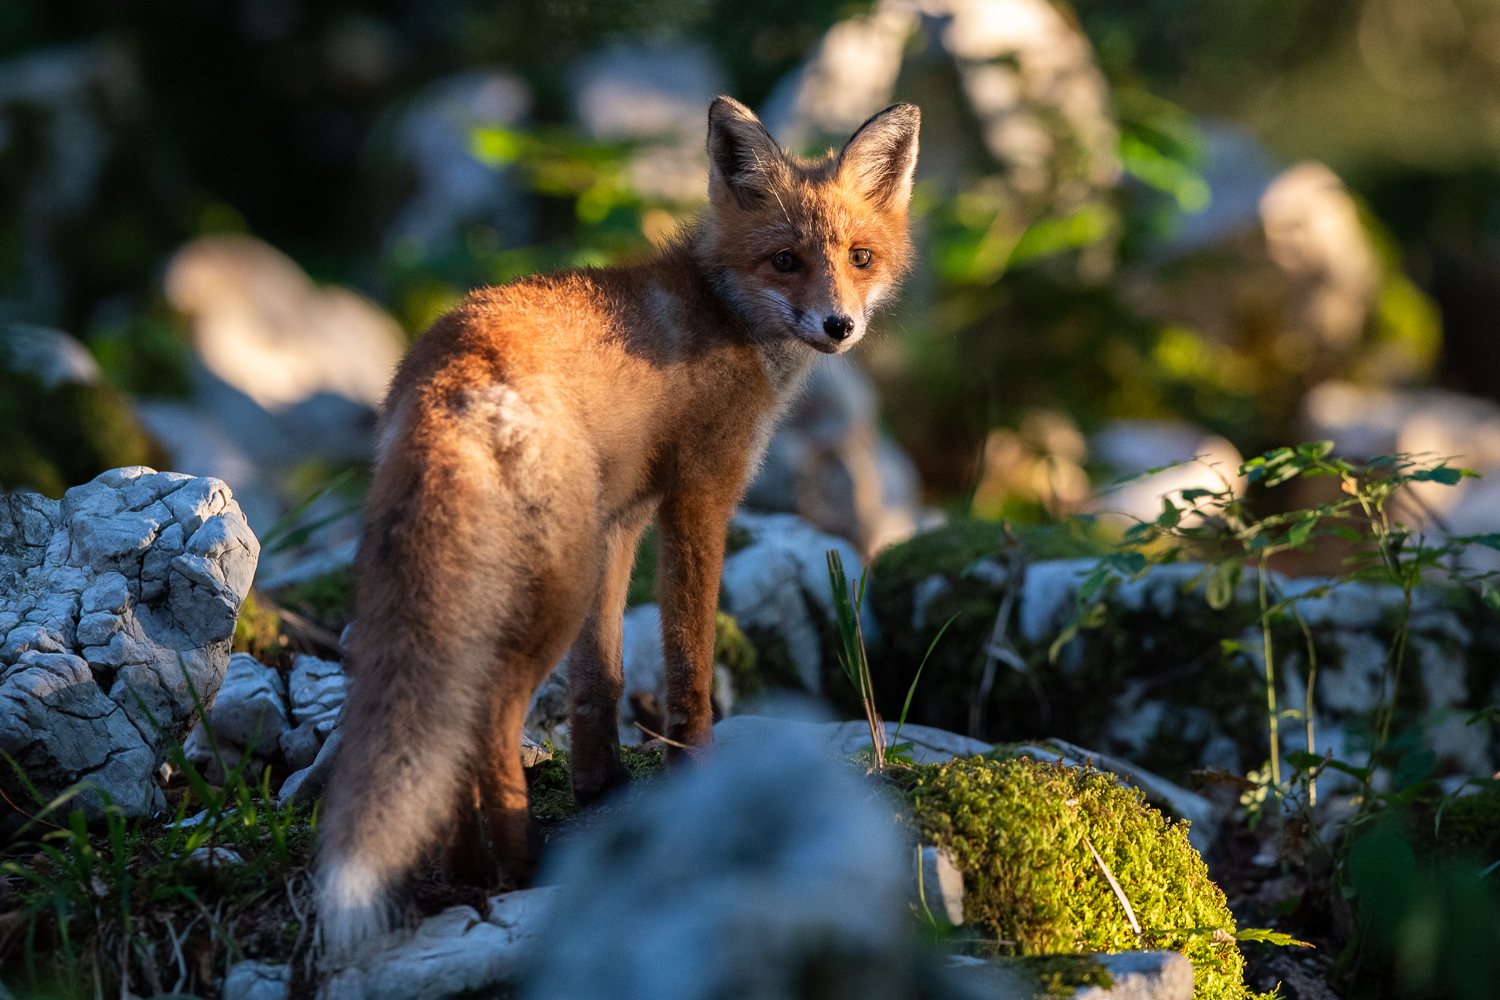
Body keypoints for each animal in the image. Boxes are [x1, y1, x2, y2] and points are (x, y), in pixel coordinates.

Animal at [319, 95, 912, 959]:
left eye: (860, 257)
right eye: (785, 261)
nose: (838, 326)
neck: (720, 315)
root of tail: (453, 368)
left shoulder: (620, 522)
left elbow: (600, 682)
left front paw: (602, 788)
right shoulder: (699, 500)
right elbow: (689, 668)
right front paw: (695, 777)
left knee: (454, 718)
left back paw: (463, 866)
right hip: (550, 585)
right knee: (492, 720)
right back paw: (520, 865)